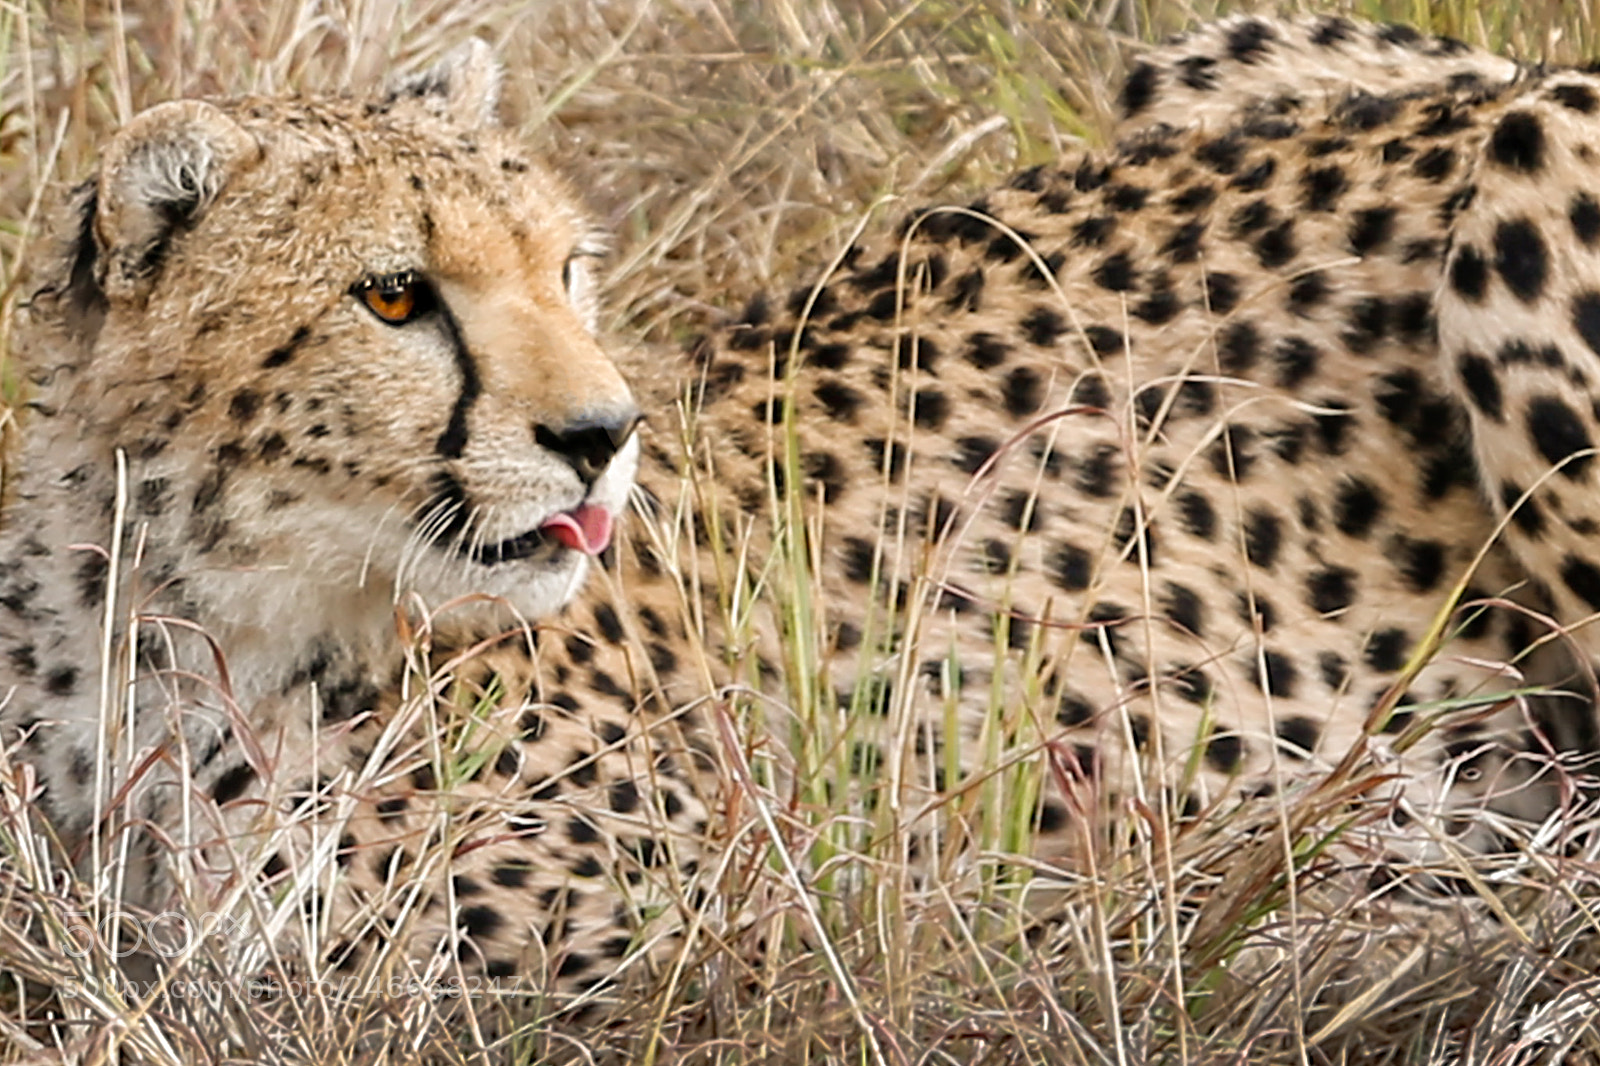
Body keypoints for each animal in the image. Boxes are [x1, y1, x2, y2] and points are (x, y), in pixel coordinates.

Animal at [7, 13, 1600, 1015]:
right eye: (395, 296)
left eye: (566, 270)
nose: (603, 438)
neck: (181, 611)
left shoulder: (727, 919)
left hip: (1527, 152)